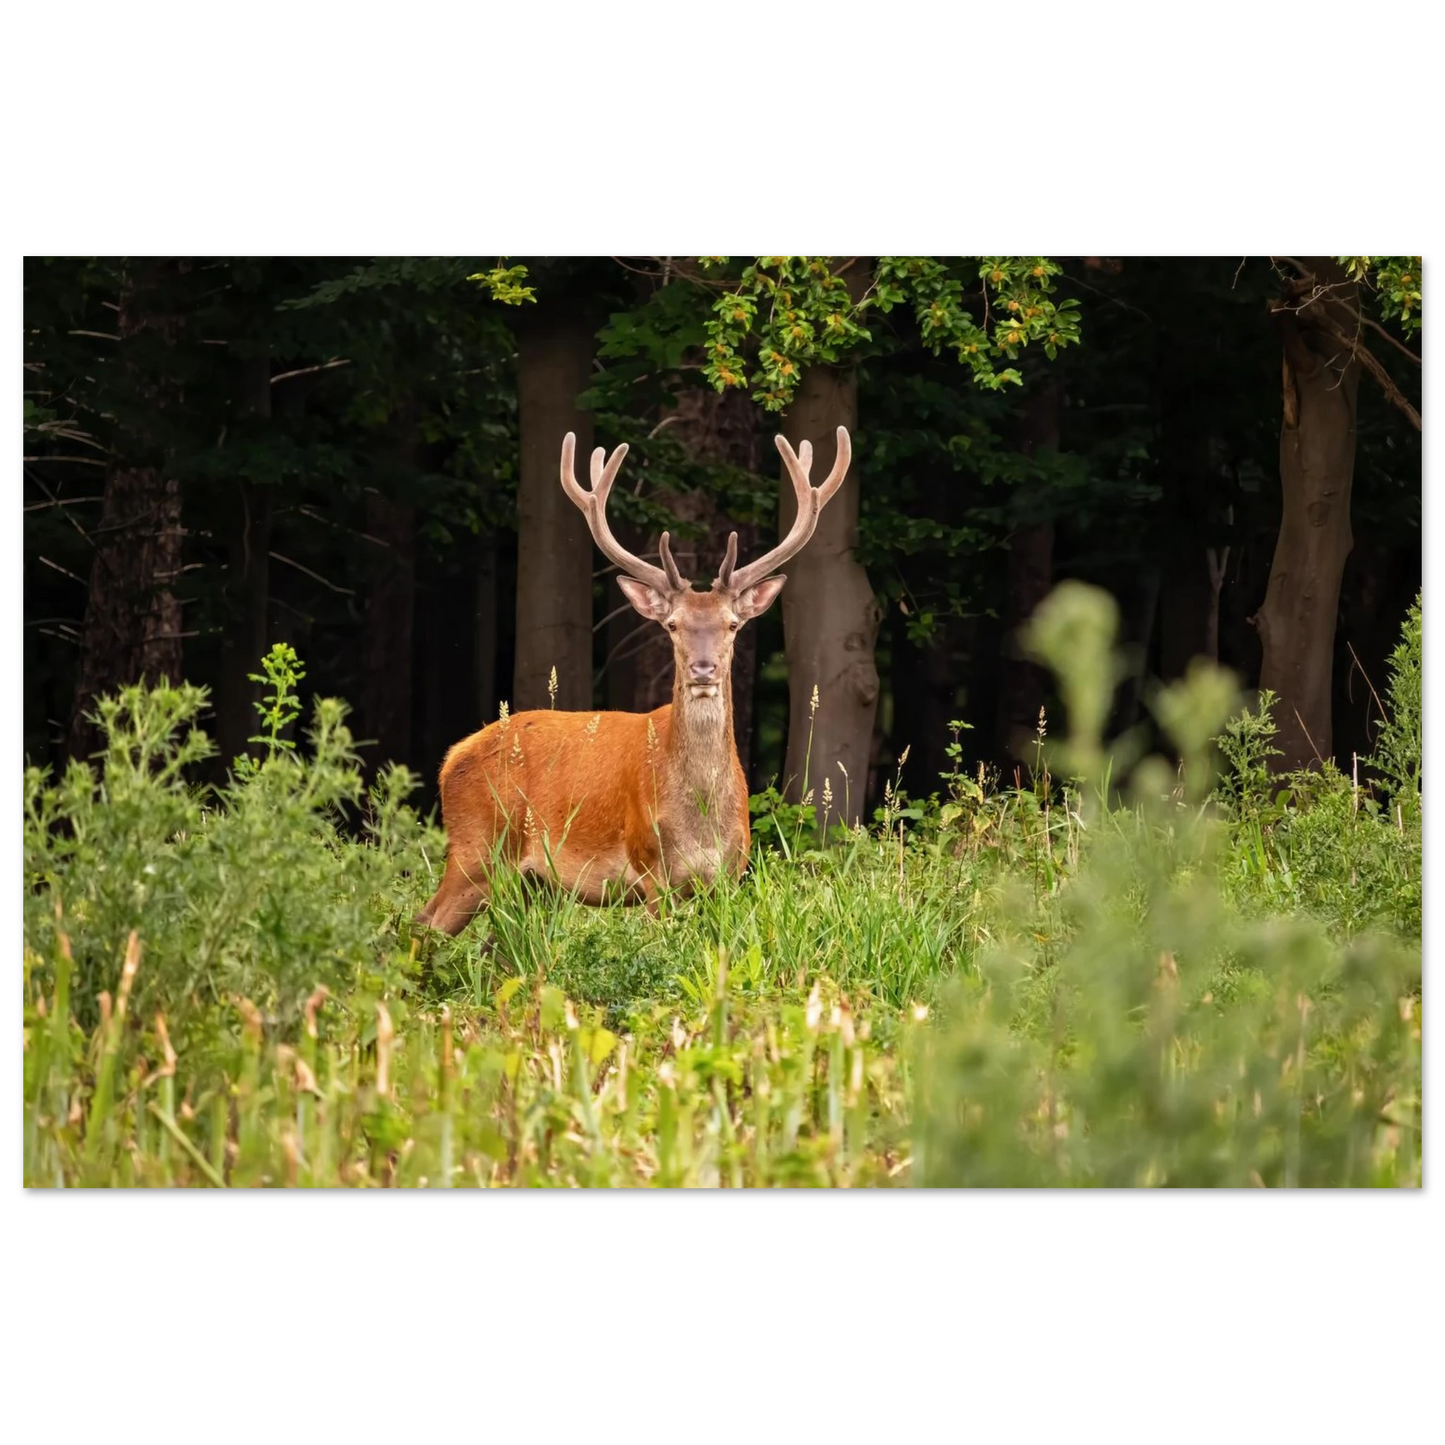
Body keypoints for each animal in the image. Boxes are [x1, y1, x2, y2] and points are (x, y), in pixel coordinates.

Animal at [413, 424, 852, 936]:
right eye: (673, 625)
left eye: (732, 624)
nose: (704, 669)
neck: (701, 818)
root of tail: (450, 759)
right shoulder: (651, 870)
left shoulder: (730, 874)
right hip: (476, 849)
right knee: (422, 924)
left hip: (525, 881)